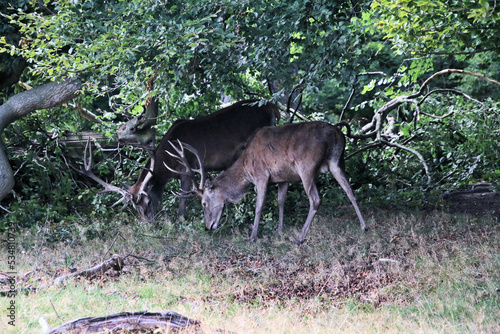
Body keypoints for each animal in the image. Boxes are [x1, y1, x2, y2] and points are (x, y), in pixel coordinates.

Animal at [80, 99, 280, 220]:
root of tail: (272, 106)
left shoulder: (187, 168)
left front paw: (181, 220)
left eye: (148, 202)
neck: (167, 162)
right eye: (135, 209)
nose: (149, 223)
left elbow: (182, 200)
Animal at [171, 121, 368, 244]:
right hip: (337, 161)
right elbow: (281, 201)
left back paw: (301, 237)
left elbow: (259, 206)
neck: (246, 166)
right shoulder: (284, 178)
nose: (208, 227)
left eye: (204, 203)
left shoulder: (261, 175)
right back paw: (364, 226)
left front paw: (252, 236)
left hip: (306, 166)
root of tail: (337, 134)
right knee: (350, 190)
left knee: (315, 199)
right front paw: (280, 230)